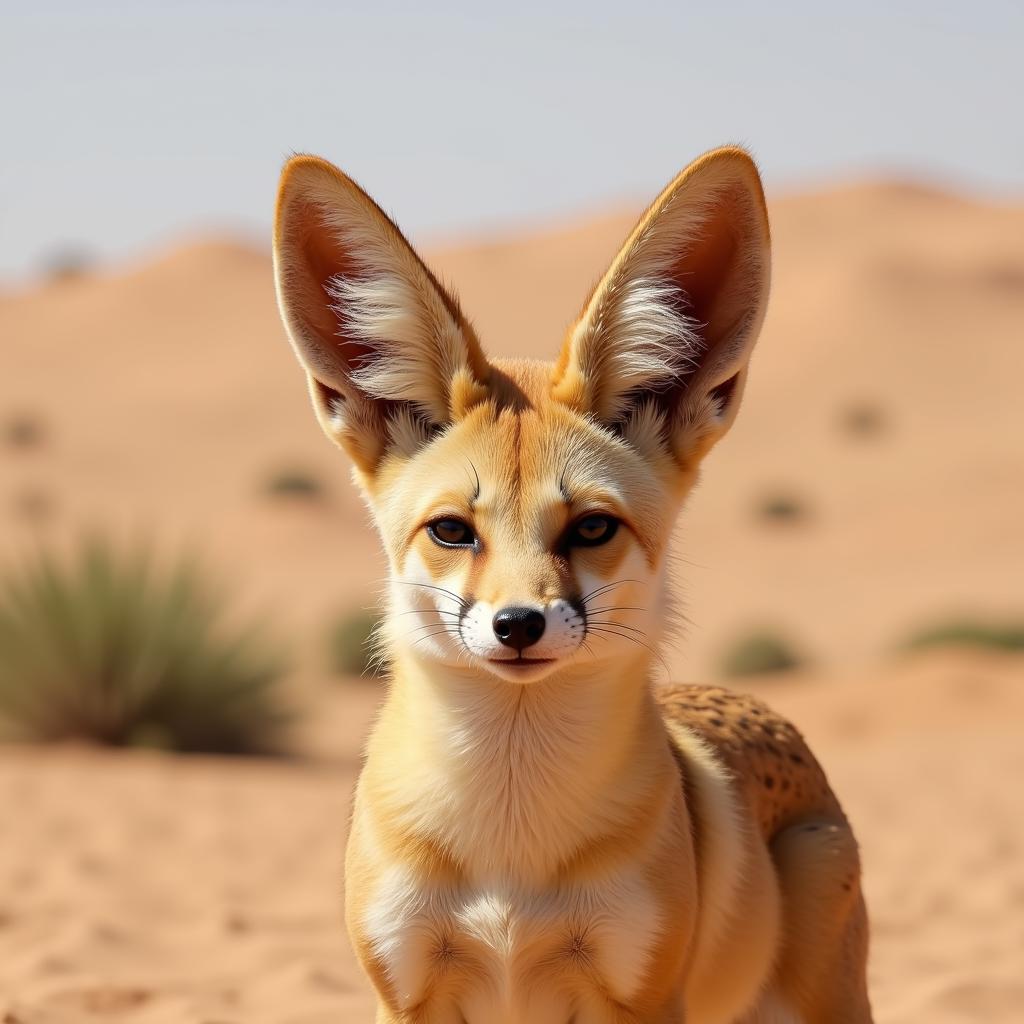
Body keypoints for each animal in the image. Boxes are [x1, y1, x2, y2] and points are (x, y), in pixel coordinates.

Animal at [272, 146, 872, 1024]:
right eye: (452, 530)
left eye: (591, 528)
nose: (518, 624)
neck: (511, 857)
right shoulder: (407, 991)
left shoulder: (638, 994)